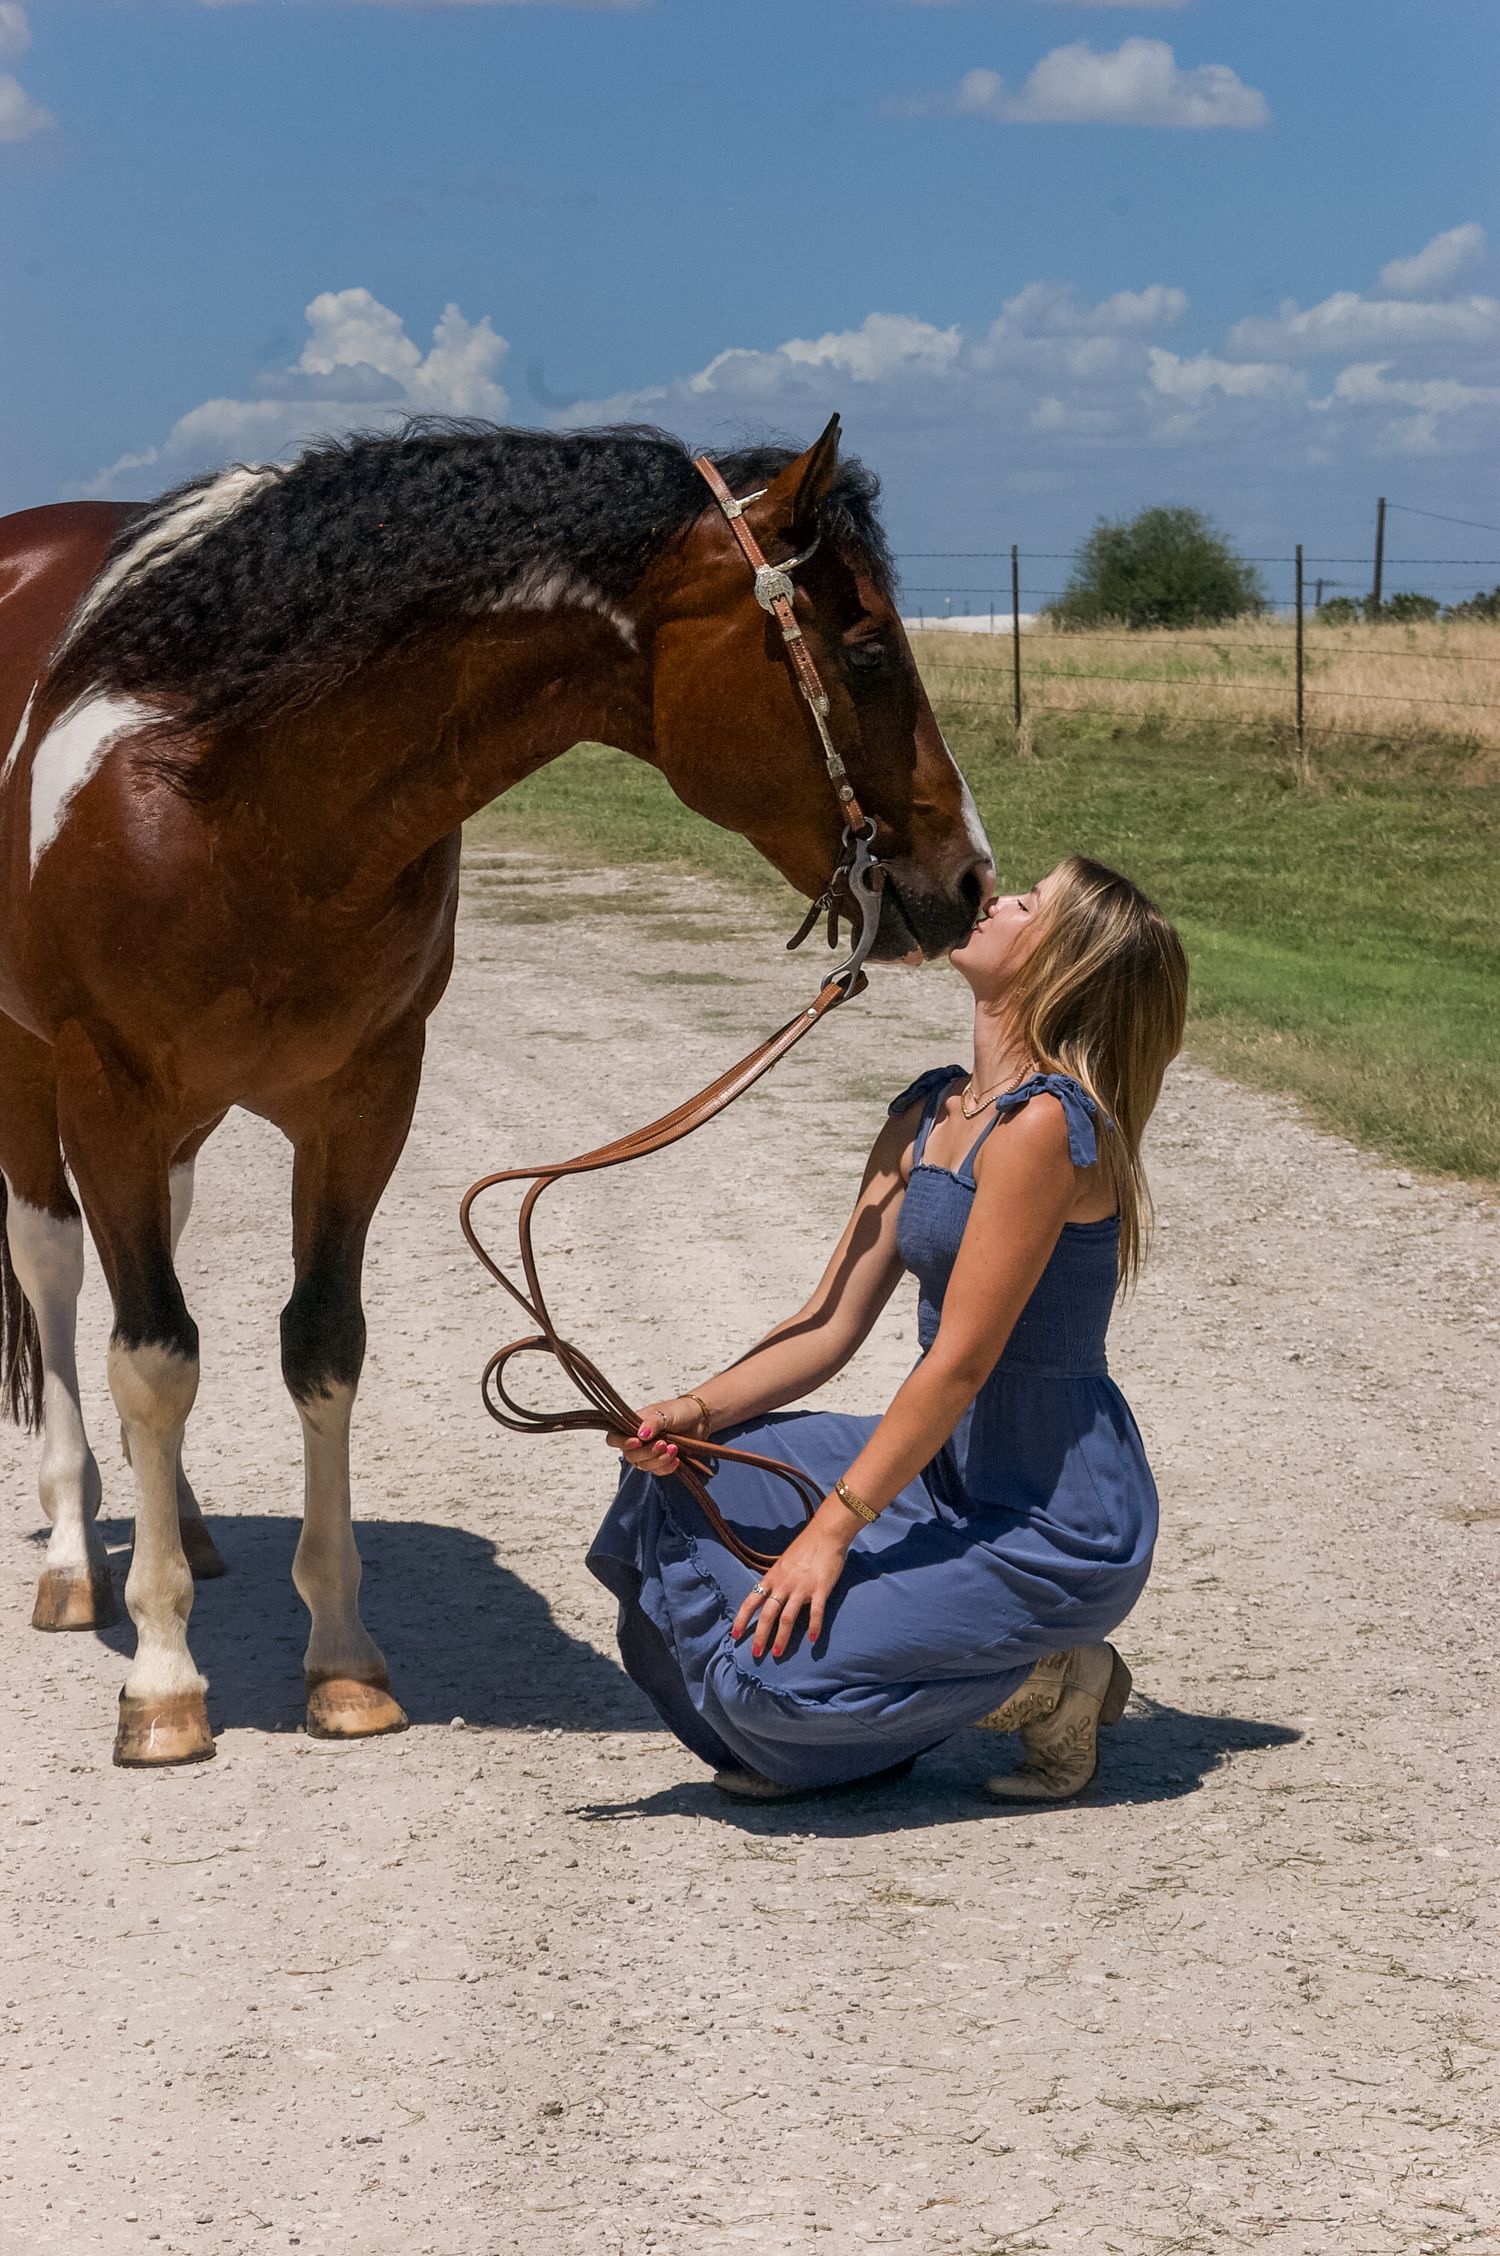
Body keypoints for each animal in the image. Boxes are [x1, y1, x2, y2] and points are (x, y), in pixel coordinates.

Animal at [0, 413, 993, 1769]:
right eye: (869, 648)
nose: (971, 881)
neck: (229, 796)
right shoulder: (110, 1089)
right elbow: (150, 1358)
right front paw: (161, 1678)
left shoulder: (365, 1096)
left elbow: (318, 1345)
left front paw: (343, 1662)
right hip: (38, 1080)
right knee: (56, 1272)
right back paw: (71, 1558)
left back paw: (189, 1526)